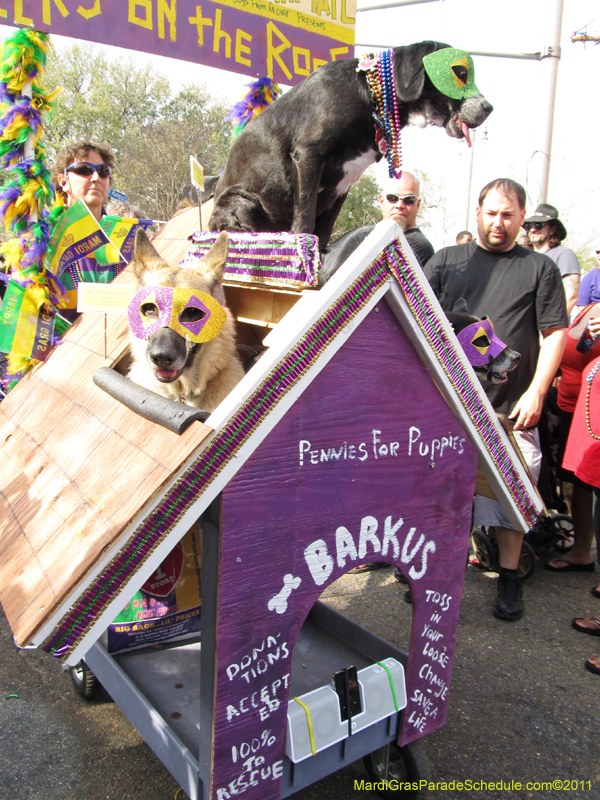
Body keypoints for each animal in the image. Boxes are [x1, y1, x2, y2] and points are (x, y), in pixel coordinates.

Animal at [210, 39, 492, 247]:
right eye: (460, 73)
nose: (489, 107)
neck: (369, 95)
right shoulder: (308, 155)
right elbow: (305, 220)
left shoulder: (342, 187)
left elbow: (324, 233)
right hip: (242, 202)